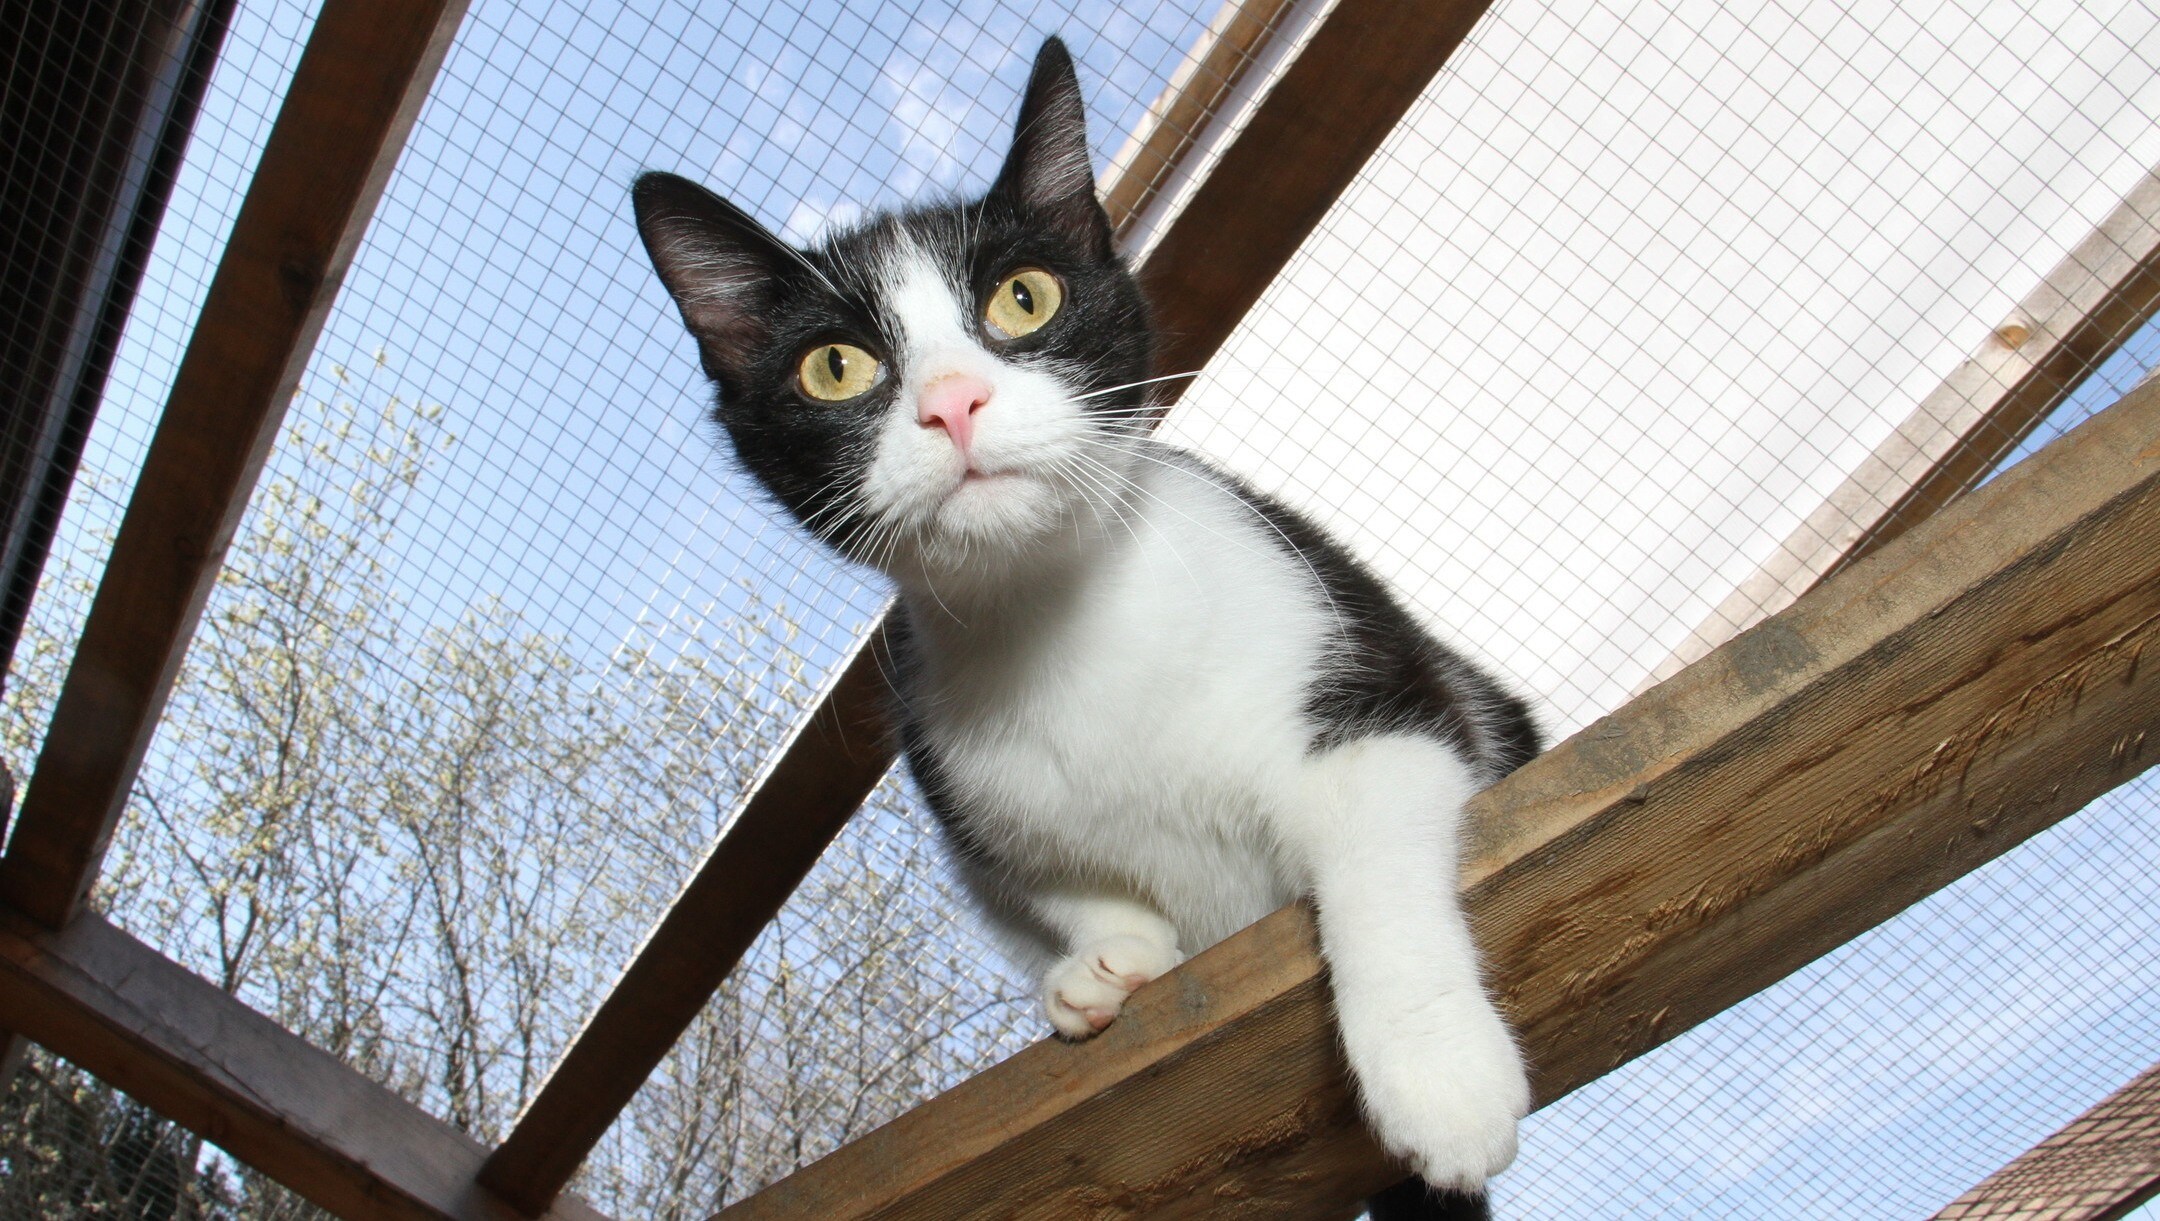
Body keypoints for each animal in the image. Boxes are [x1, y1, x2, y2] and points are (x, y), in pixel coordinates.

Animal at [630, 33, 1546, 1210]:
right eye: (835, 366)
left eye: (1024, 298)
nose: (954, 403)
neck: (1060, 622)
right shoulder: (955, 777)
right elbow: (1046, 885)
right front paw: (1108, 954)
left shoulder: (1372, 684)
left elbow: (1376, 839)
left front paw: (1437, 1070)